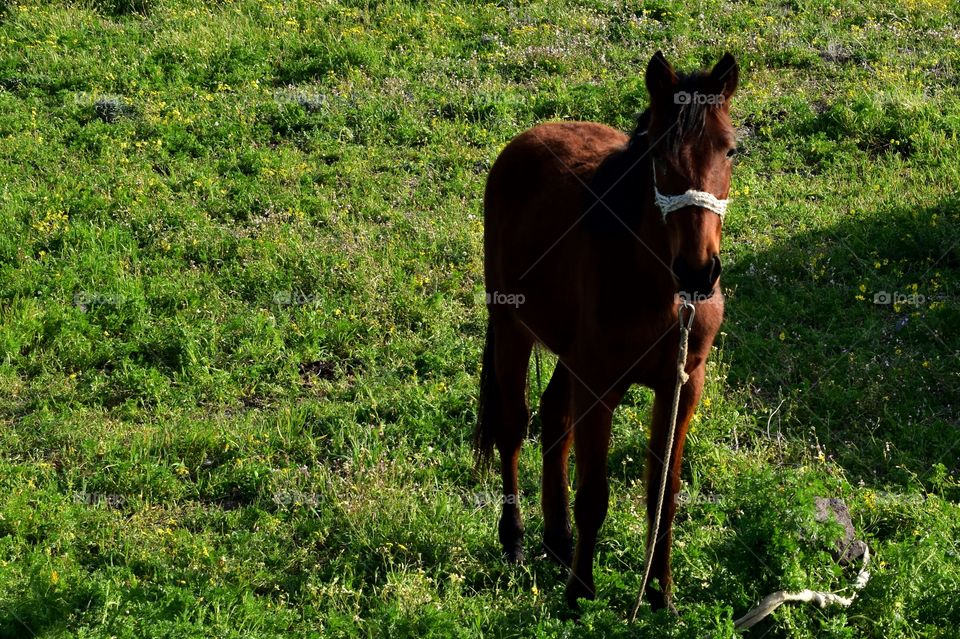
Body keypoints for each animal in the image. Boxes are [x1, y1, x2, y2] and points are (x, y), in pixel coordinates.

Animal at [474, 51, 739, 612]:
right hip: (511, 326)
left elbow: (663, 494)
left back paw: (558, 540)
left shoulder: (681, 386)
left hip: (569, 354)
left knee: (554, 414)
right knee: (513, 424)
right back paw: (516, 539)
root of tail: (528, 137)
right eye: (659, 150)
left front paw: (660, 596)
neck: (659, 291)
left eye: (731, 150)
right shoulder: (599, 386)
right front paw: (579, 596)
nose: (698, 271)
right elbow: (595, 495)